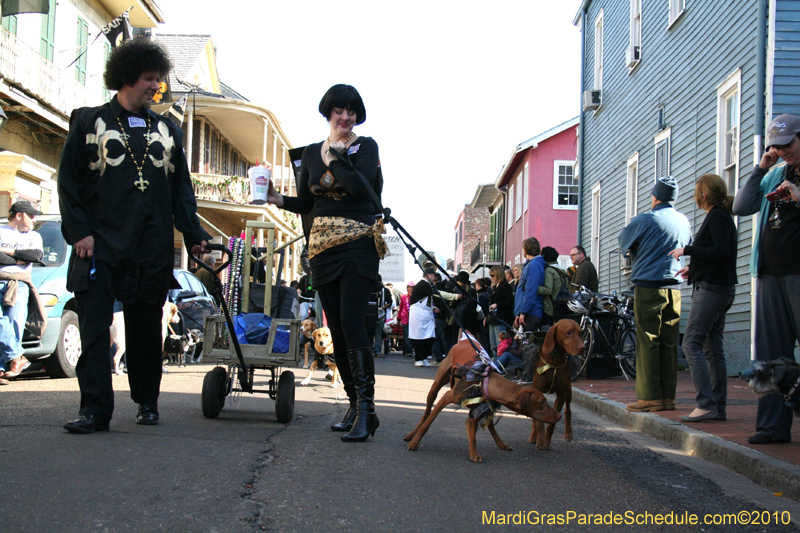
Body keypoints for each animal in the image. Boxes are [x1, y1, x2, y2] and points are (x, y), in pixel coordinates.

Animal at [406, 332, 564, 462]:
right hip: (436, 387)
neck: (485, 382)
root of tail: (464, 338)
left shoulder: (479, 409)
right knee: (426, 413)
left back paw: (501, 443)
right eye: (542, 402)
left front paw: (473, 452)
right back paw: (411, 435)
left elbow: (474, 428)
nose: (559, 415)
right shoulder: (447, 397)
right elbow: (428, 422)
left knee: (490, 425)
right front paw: (415, 442)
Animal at [528, 320, 584, 448]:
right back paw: (533, 436)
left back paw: (568, 433)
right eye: (569, 332)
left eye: (580, 333)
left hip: (568, 391)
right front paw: (539, 438)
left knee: (567, 411)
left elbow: (553, 422)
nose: (583, 348)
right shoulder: (538, 391)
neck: (554, 362)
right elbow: (538, 421)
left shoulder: (561, 394)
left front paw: (546, 440)